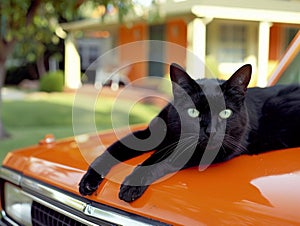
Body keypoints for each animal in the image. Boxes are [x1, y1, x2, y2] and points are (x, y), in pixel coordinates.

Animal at [78, 63, 298, 203]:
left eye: (225, 113)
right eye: (193, 112)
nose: (211, 131)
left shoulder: (219, 150)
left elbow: (161, 159)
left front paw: (132, 184)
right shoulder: (148, 133)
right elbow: (111, 150)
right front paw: (89, 180)